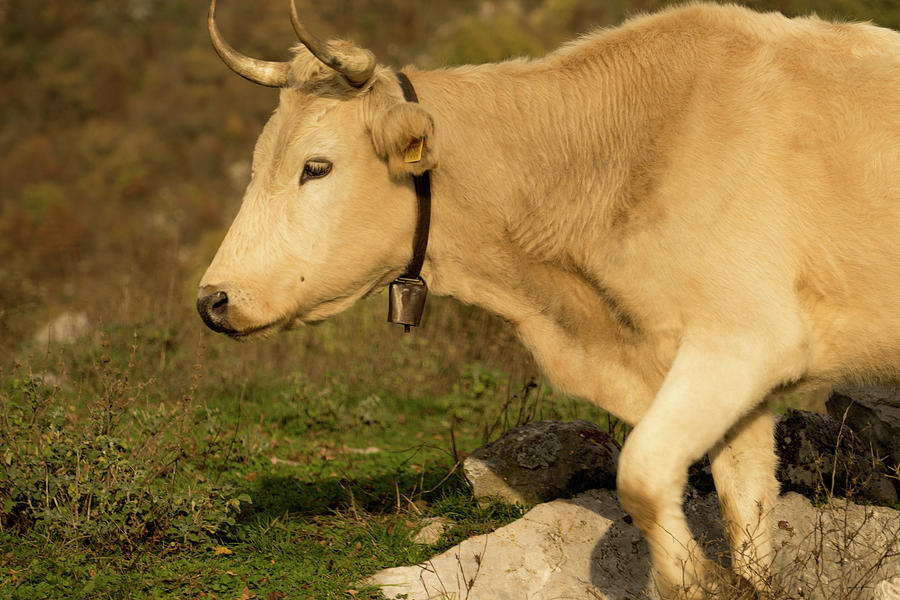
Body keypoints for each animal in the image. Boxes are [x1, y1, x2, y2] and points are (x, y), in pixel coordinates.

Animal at [197, 1, 900, 596]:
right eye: (257, 163)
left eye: (316, 166)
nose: (212, 299)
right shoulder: (721, 366)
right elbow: (745, 497)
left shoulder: (744, 339)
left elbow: (643, 475)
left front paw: (698, 578)